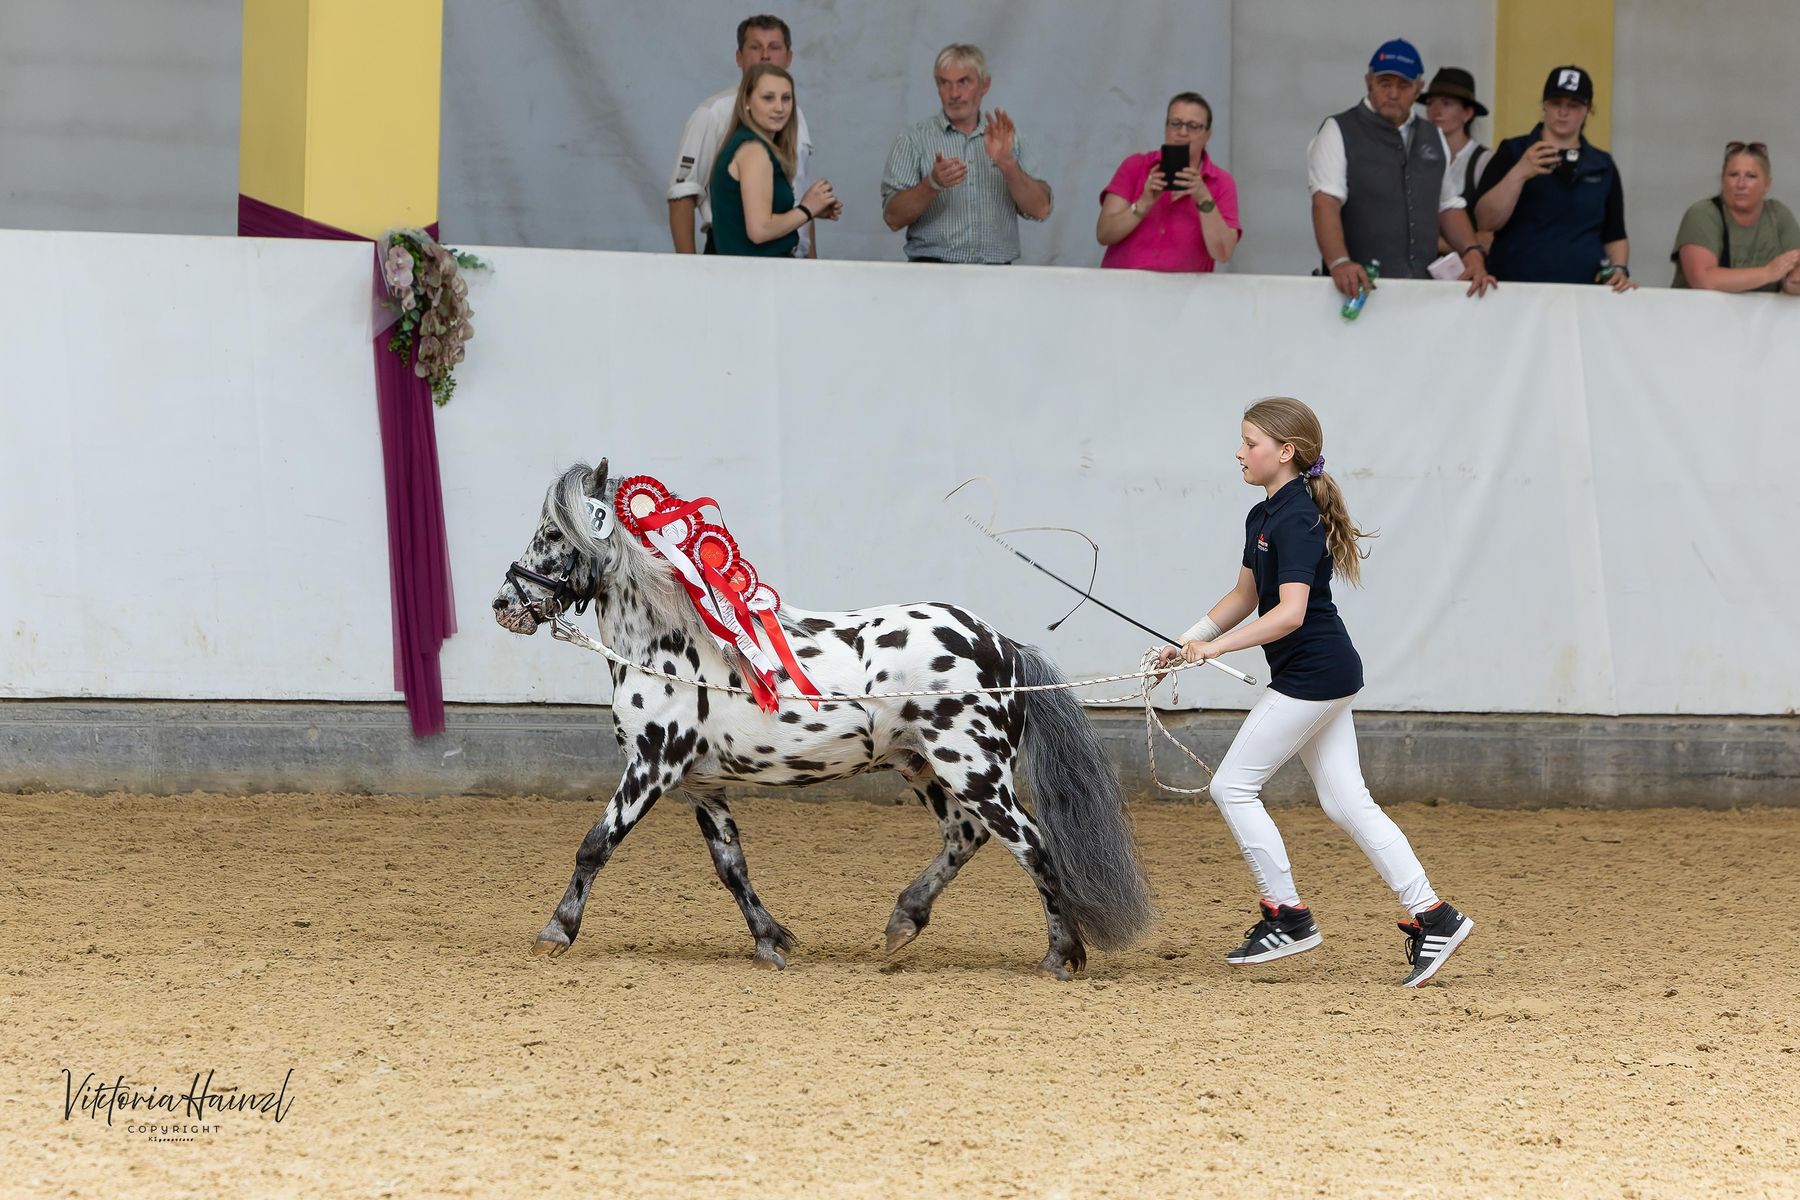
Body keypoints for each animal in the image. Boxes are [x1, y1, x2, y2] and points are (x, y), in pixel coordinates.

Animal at [492, 460, 1153, 979]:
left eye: (552, 531)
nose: (504, 605)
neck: (669, 647)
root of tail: (1003, 647)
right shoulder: (702, 785)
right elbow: (731, 866)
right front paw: (771, 941)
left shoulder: (652, 768)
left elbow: (593, 847)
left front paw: (555, 934)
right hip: (924, 767)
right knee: (966, 838)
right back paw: (903, 923)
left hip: (973, 771)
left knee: (1032, 844)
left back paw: (1061, 955)